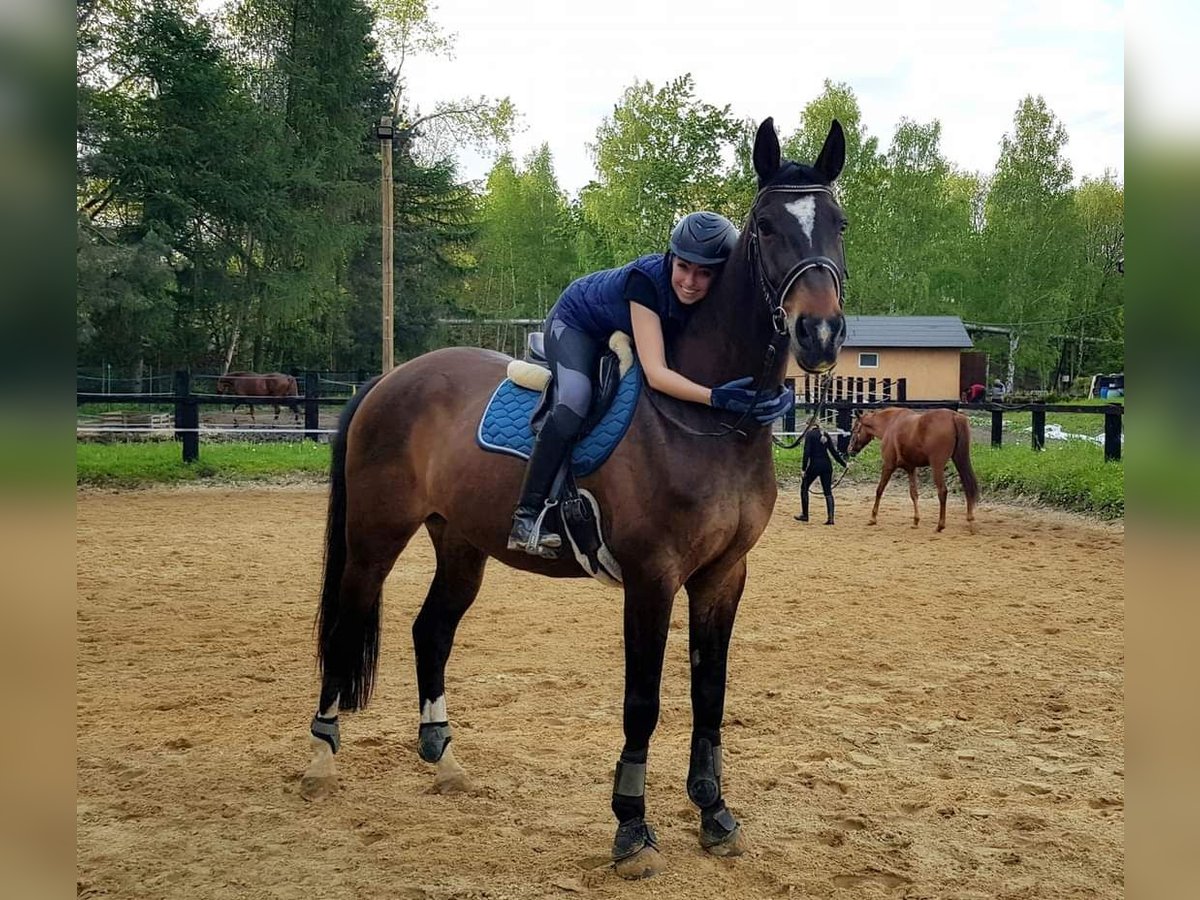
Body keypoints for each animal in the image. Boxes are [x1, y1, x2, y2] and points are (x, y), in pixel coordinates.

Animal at [300, 118, 854, 883]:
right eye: (767, 227)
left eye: (838, 223)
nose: (819, 333)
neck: (709, 417)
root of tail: (389, 381)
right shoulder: (652, 579)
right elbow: (643, 701)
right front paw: (631, 827)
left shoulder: (723, 576)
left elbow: (709, 694)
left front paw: (714, 812)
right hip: (375, 538)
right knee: (344, 625)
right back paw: (322, 756)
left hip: (460, 542)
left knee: (431, 631)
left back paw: (444, 759)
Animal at [849, 410, 979, 535]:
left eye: (854, 429)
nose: (849, 449)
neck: (890, 423)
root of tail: (953, 416)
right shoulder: (911, 468)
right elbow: (914, 494)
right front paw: (916, 521)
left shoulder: (888, 466)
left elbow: (879, 490)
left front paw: (873, 518)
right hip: (959, 460)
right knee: (967, 487)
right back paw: (970, 522)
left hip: (937, 466)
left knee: (942, 491)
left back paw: (940, 526)